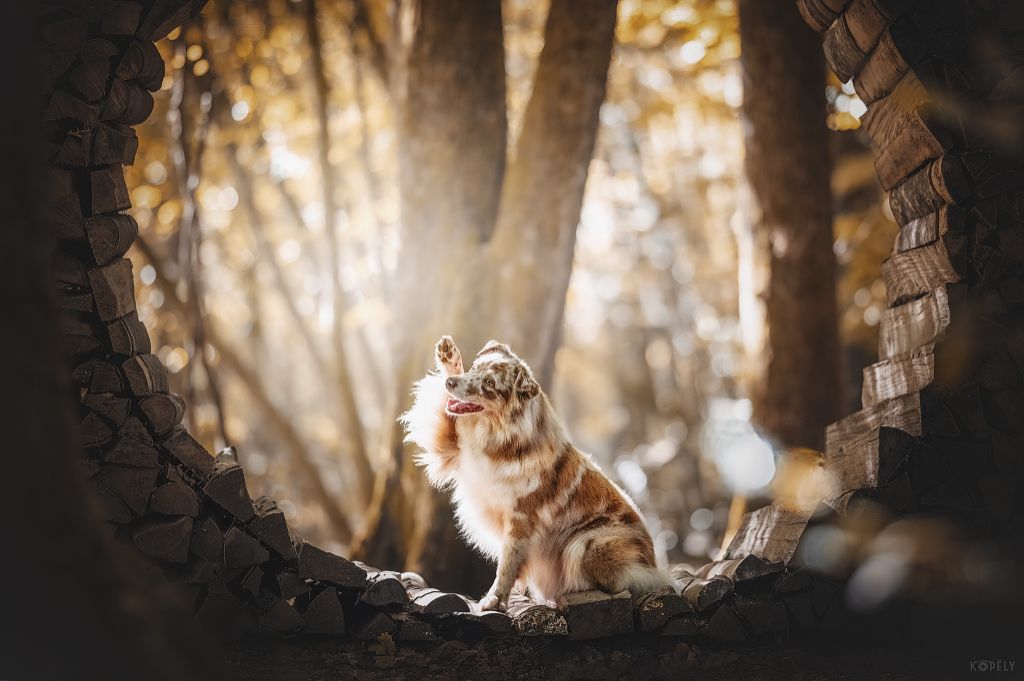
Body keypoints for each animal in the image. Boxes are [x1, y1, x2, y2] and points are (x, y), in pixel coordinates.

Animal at [399, 335, 671, 610]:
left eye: (489, 383)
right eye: (474, 368)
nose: (451, 383)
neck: (500, 433)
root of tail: (653, 563)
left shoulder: (521, 519)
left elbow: (507, 565)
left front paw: (495, 599)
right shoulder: (452, 445)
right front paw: (449, 355)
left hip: (586, 544)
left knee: (620, 583)